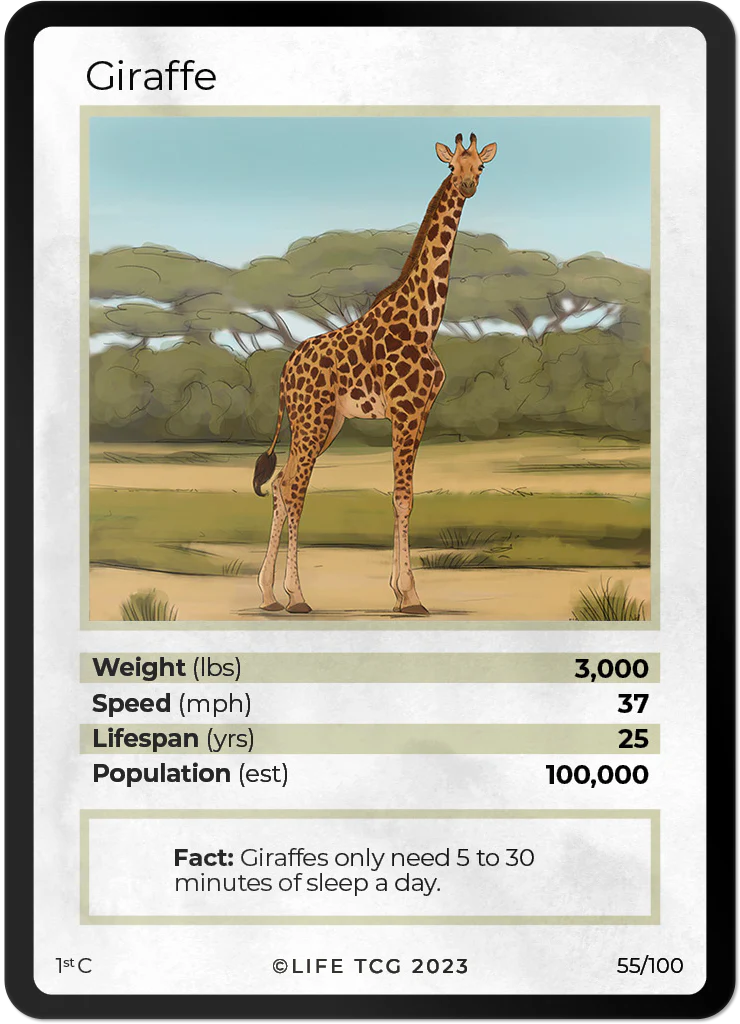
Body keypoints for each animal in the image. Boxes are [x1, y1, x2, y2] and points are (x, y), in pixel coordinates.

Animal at [253, 132, 498, 615]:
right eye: (451, 167)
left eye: (480, 167)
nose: (467, 187)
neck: (425, 321)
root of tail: (285, 372)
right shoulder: (404, 411)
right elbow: (402, 498)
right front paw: (412, 595)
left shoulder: (420, 414)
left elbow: (405, 497)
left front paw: (399, 593)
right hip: (311, 422)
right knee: (294, 490)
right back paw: (297, 597)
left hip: (322, 423)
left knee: (281, 483)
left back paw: (269, 594)